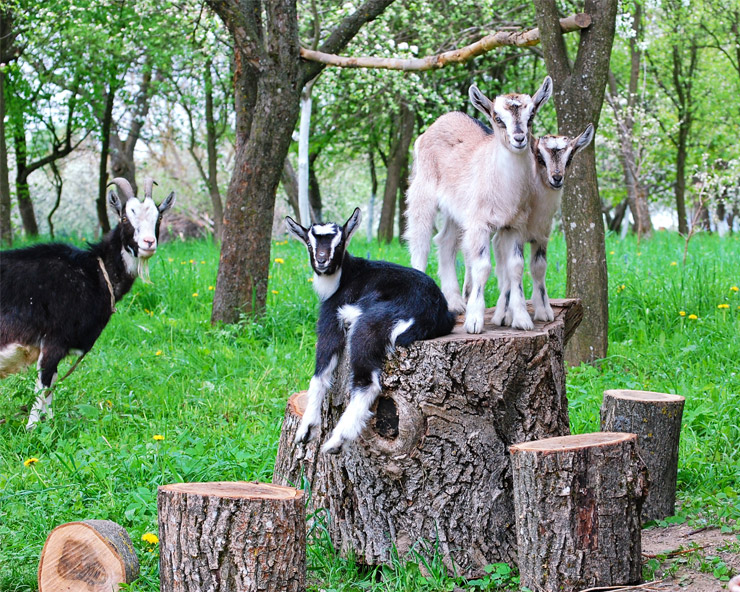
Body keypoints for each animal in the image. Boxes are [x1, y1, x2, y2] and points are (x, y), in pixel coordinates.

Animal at [0, 177, 175, 430]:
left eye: (158, 217)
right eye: (125, 218)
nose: (148, 242)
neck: (94, 272)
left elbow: (50, 388)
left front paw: (49, 424)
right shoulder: (54, 340)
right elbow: (43, 387)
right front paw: (32, 429)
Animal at [284, 208, 454, 454]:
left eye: (339, 242)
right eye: (309, 242)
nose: (322, 261)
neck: (344, 278)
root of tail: (431, 314)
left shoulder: (331, 316)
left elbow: (320, 371)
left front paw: (306, 430)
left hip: (370, 324)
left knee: (368, 382)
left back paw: (337, 440)